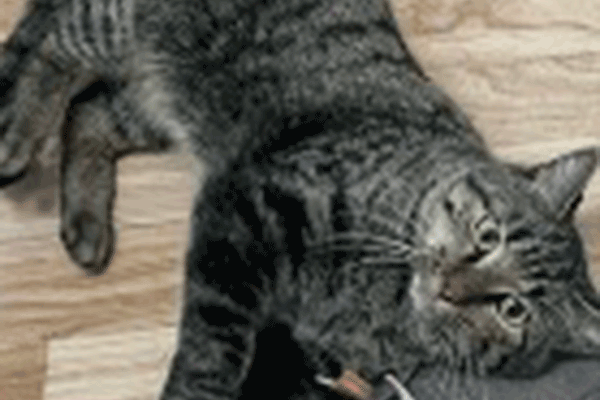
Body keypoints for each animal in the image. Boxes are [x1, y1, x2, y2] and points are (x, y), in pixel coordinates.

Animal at [1, 0, 600, 400]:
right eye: (488, 235)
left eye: (513, 310)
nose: (451, 286)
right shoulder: (247, 207)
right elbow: (213, 346)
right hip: (120, 25)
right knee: (48, 40)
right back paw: (16, 136)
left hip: (159, 104)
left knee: (91, 111)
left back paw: (86, 224)